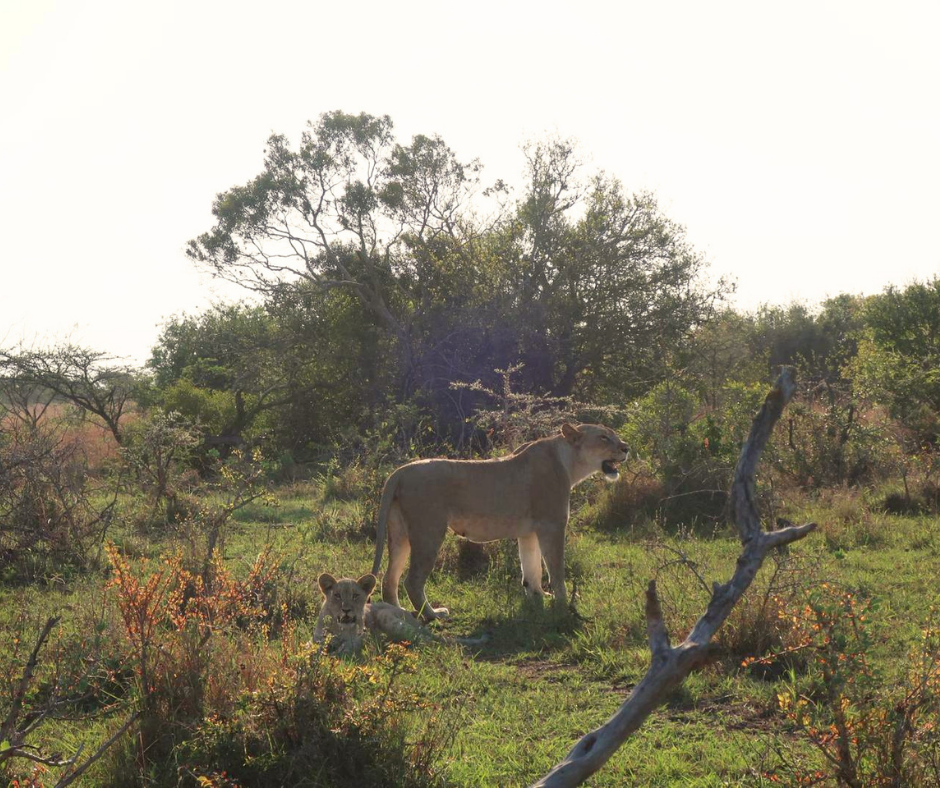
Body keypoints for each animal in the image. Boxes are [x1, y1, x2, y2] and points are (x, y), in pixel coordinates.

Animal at [313, 572, 487, 654]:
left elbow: (347, 648)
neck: (339, 626)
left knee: (427, 641)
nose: (346, 610)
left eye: (355, 596)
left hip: (386, 617)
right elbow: (315, 646)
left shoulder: (360, 638)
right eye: (337, 595)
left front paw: (337, 655)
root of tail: (415, 620)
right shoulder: (318, 637)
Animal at [371, 422, 629, 620]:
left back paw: (398, 613)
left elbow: (531, 568)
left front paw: (538, 598)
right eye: (604, 437)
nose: (626, 448)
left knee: (389, 578)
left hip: (400, 533)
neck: (569, 463)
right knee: (412, 580)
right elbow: (555, 569)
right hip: (429, 532)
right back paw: (433, 614)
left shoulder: (529, 531)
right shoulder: (552, 524)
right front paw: (562, 604)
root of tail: (400, 472)